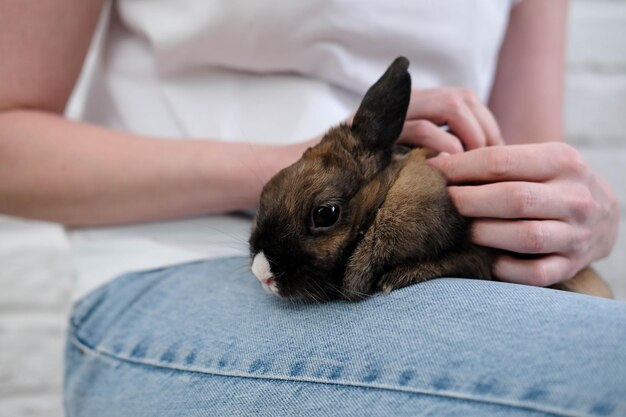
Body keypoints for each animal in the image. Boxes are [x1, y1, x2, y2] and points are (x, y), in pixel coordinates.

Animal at [246, 56, 608, 302]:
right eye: (266, 189)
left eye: (325, 214)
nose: (261, 274)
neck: (384, 201)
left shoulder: (478, 257)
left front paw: (397, 277)